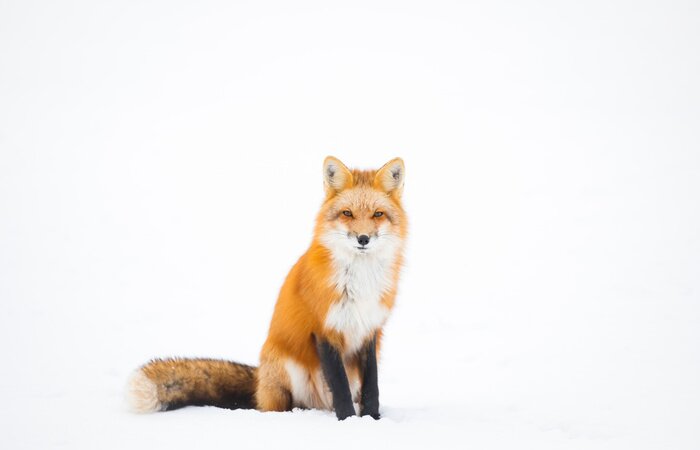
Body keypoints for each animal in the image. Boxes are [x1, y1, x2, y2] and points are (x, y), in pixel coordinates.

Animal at [126, 156, 407, 420]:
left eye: (378, 214)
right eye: (347, 213)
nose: (363, 239)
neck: (360, 281)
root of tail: (259, 382)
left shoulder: (370, 329)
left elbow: (372, 386)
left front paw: (372, 419)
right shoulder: (324, 329)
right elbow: (339, 388)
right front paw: (348, 420)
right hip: (288, 369)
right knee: (281, 407)